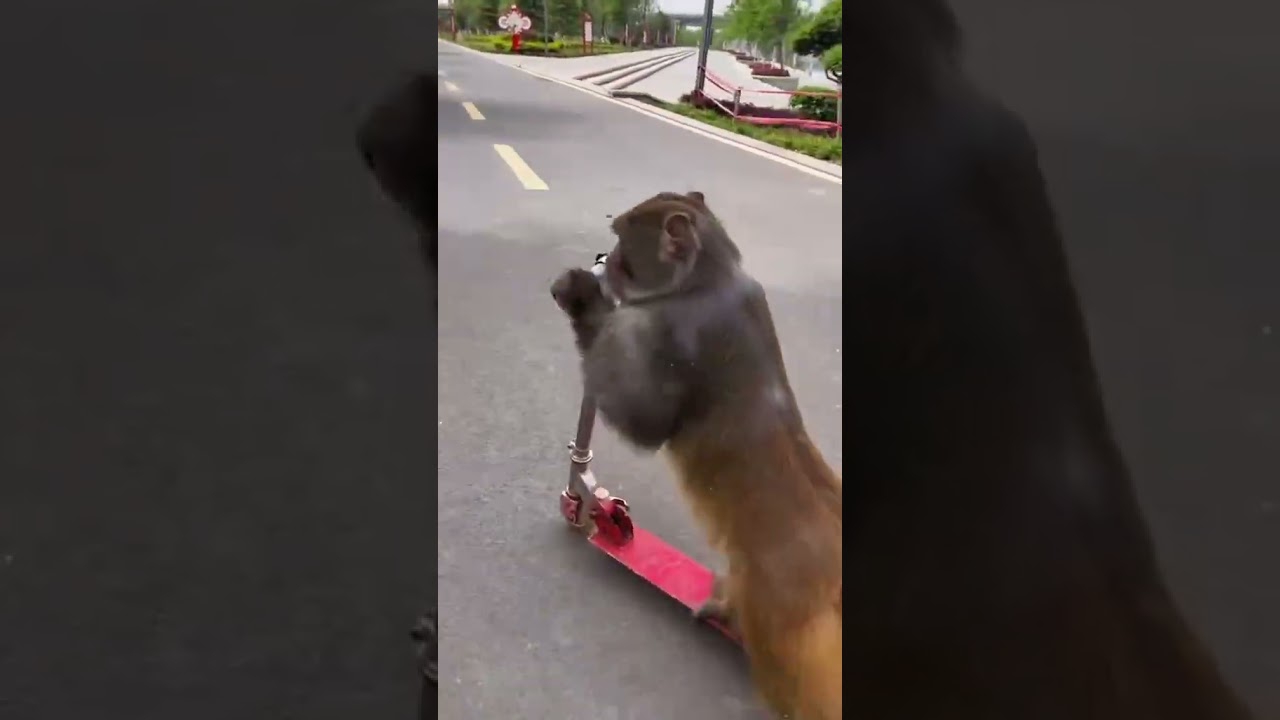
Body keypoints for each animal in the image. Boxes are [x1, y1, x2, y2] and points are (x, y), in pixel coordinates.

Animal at [551, 191, 844, 720]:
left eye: (623, 240)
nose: (605, 258)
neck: (709, 278)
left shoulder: (672, 332)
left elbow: (646, 422)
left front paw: (584, 297)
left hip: (784, 613)